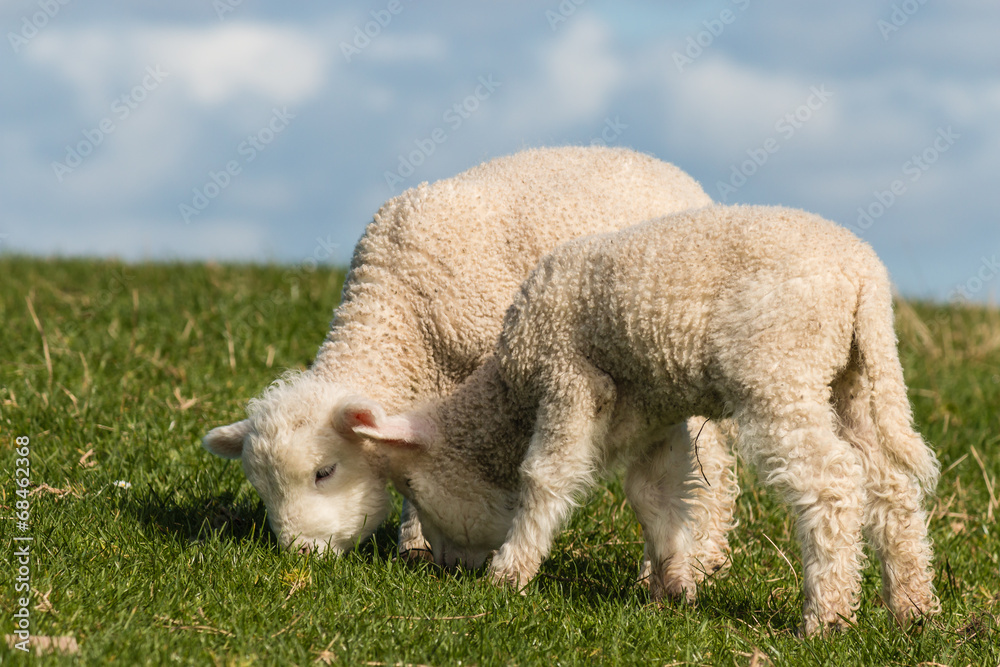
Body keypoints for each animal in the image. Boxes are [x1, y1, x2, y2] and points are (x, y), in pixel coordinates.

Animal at [201, 146, 738, 581]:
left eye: (324, 472)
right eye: (260, 487)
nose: (298, 554)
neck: (397, 305)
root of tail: (666, 167)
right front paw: (416, 544)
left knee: (708, 459)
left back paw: (700, 554)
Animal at [344, 204, 941, 636]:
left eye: (411, 487)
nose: (441, 569)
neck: (510, 389)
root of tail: (864, 277)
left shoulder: (569, 376)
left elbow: (545, 477)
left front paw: (509, 575)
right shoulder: (655, 411)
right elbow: (655, 494)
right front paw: (672, 586)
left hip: (778, 373)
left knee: (832, 484)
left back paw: (826, 618)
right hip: (853, 378)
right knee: (890, 485)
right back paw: (913, 606)